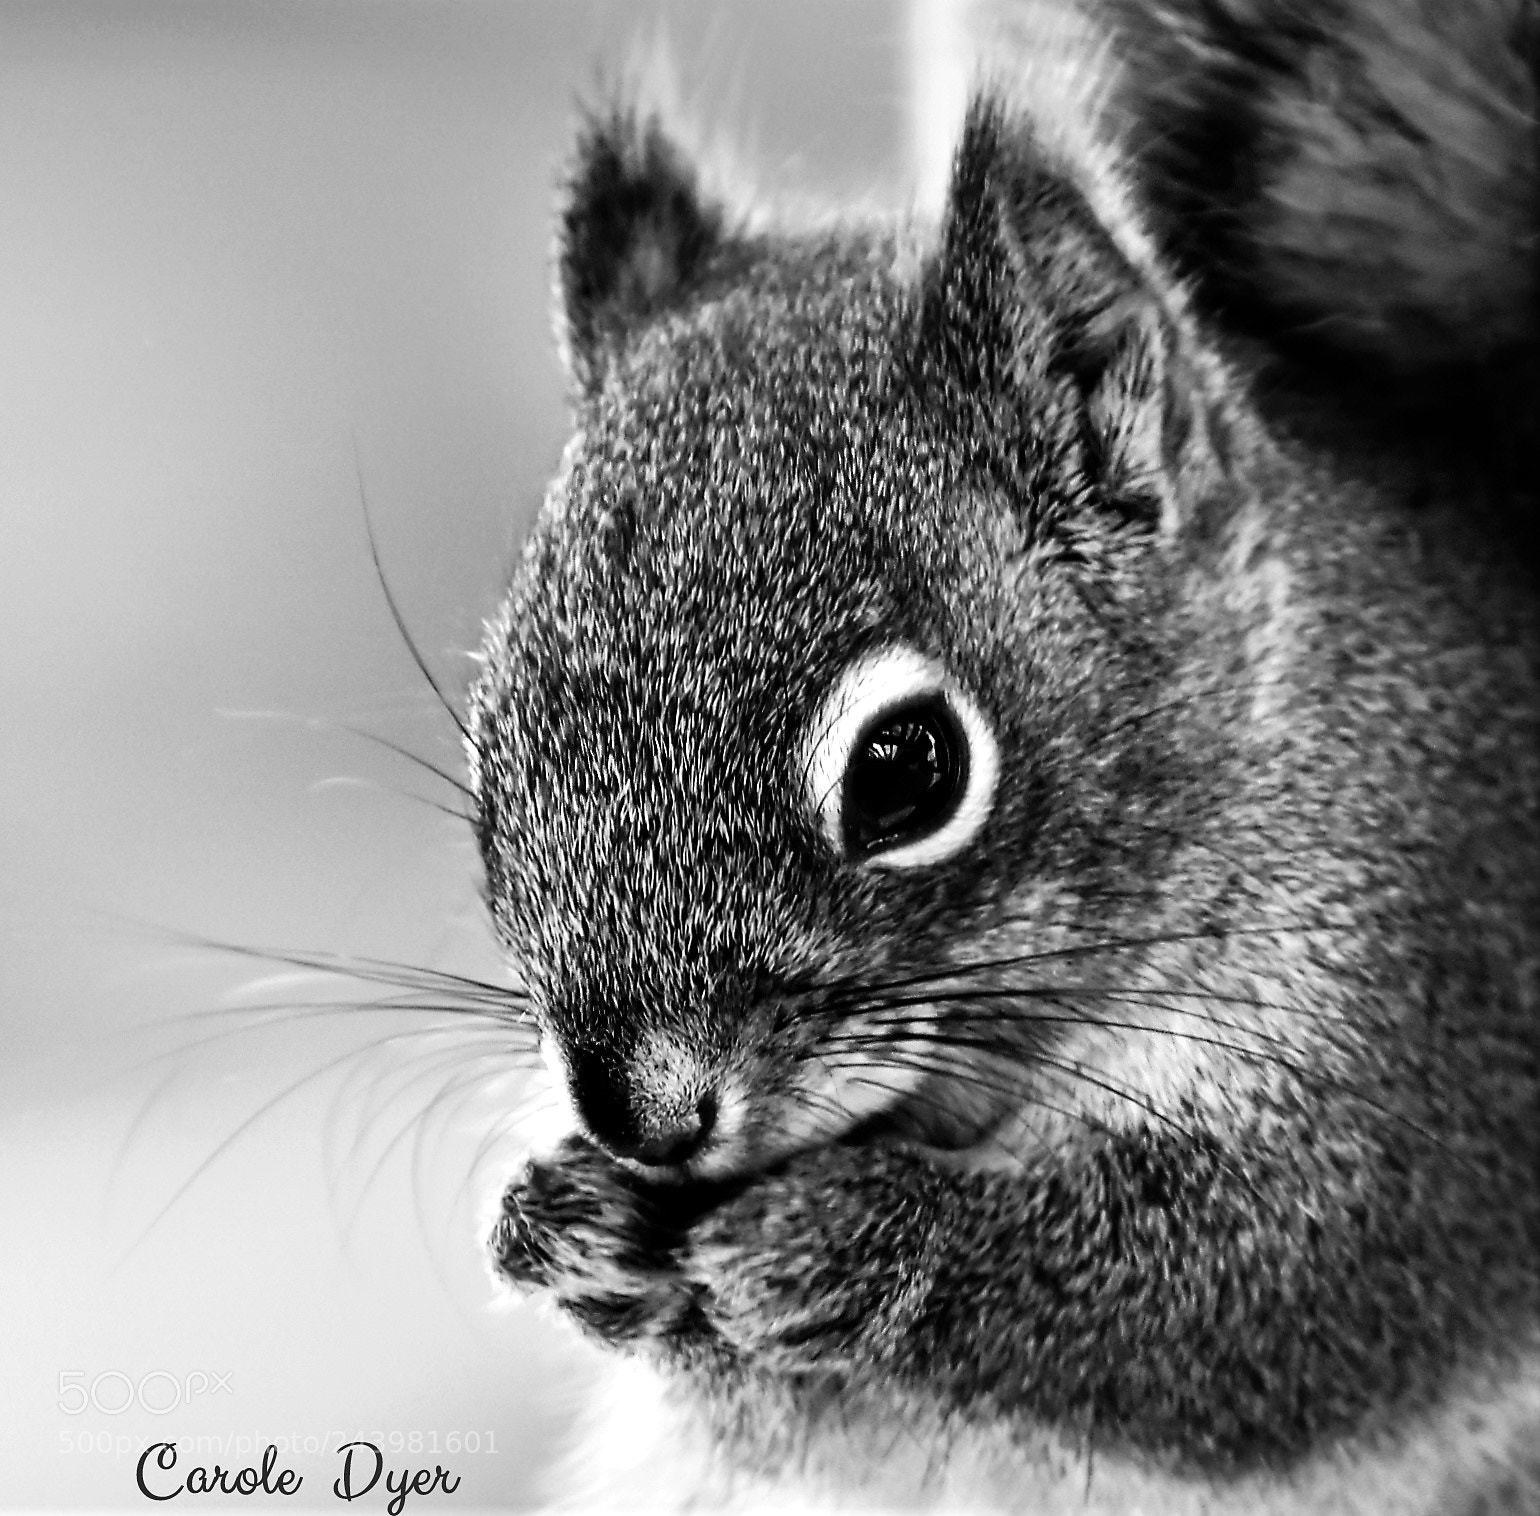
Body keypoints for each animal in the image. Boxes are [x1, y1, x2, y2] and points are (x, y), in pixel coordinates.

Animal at [471, 0, 1538, 1509]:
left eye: (906, 770)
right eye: (491, 747)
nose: (645, 1117)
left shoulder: (1430, 1031)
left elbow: (1266, 1297)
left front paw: (859, 1241)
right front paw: (569, 1223)